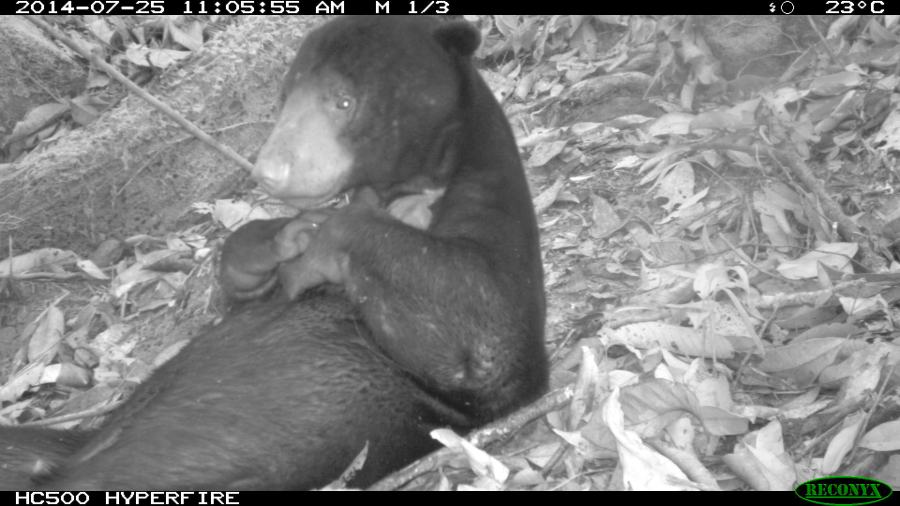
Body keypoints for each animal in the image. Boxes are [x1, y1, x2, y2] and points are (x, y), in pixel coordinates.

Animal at [0, 15, 547, 490]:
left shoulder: (490, 211)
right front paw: (288, 239)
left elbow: (485, 343)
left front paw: (322, 249)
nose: (269, 172)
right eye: (284, 98)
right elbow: (238, 286)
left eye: (344, 102)